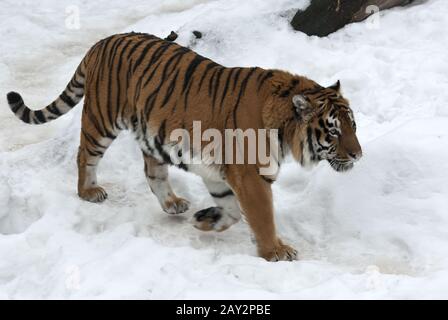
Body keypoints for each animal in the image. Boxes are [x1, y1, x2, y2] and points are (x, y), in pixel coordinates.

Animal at [7, 31, 362, 262]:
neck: (285, 130)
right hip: (101, 119)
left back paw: (173, 203)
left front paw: (207, 220)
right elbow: (262, 216)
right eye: (333, 131)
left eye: (353, 126)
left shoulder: (223, 174)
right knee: (84, 155)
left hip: (150, 132)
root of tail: (102, 41)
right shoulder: (250, 176)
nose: (358, 155)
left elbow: (233, 210)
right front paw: (275, 251)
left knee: (152, 171)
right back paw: (88, 191)